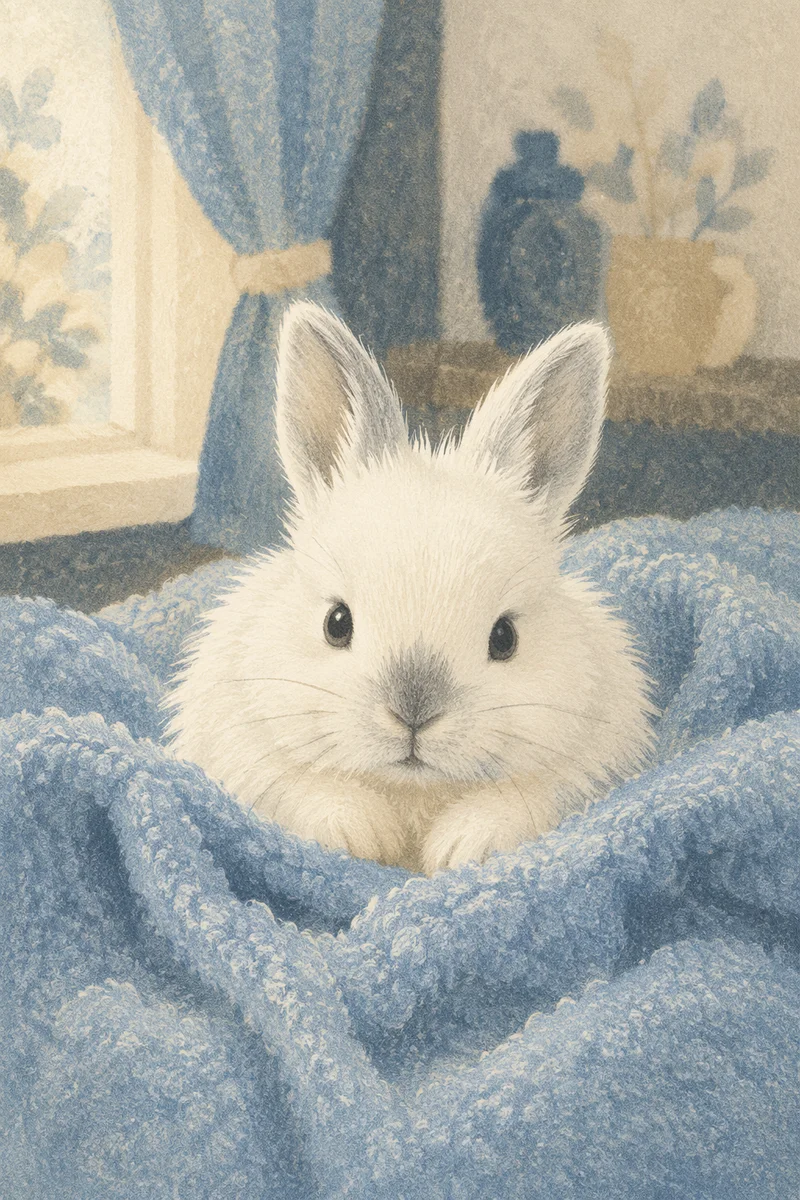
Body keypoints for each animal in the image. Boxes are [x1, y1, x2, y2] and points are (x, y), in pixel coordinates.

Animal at [165, 301, 655, 875]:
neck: (412, 791)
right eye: (336, 623)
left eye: (505, 638)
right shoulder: (245, 745)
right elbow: (305, 788)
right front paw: (360, 833)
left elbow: (526, 798)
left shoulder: (585, 763)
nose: (413, 716)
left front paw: (465, 845)